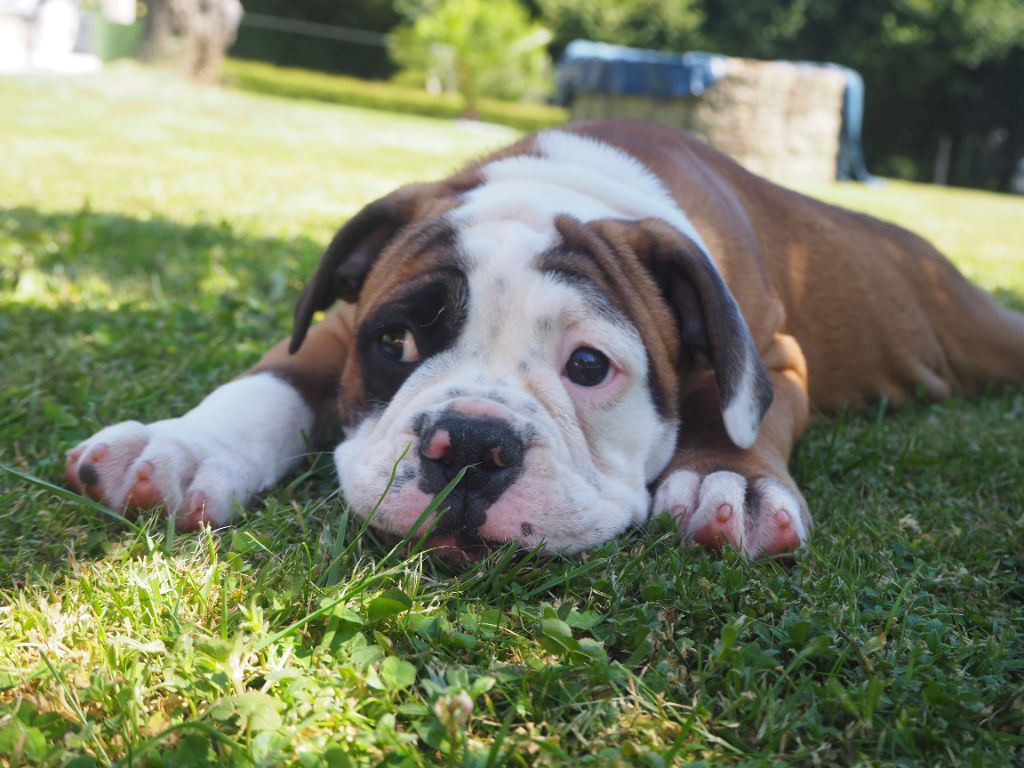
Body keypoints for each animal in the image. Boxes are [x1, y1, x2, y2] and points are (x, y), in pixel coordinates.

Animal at [61, 123, 1024, 561]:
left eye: (589, 368)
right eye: (394, 341)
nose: (470, 444)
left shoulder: (775, 357)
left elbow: (737, 415)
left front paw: (730, 480)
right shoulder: (332, 328)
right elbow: (267, 383)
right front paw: (182, 446)